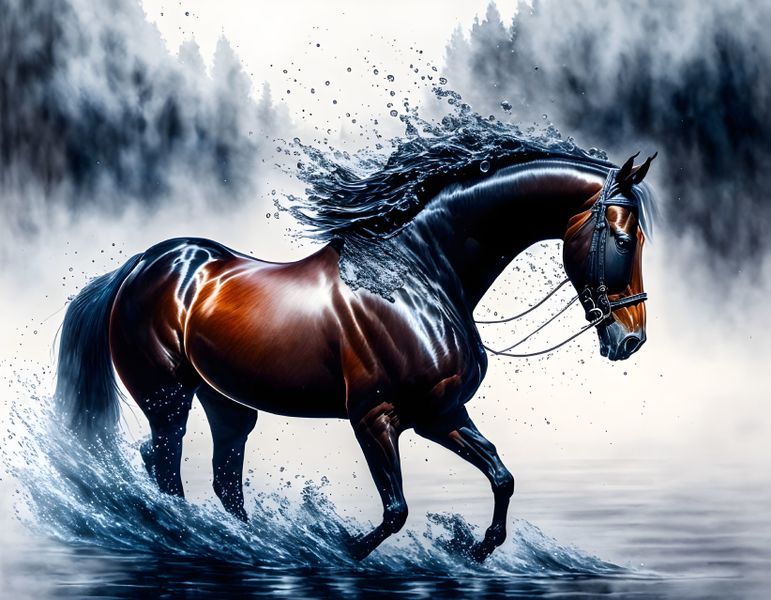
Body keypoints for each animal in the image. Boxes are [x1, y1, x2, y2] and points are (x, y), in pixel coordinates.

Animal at [54, 148, 656, 561]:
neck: (420, 276)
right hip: (168, 396)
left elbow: (500, 474)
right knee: (163, 459)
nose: (629, 340)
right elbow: (395, 511)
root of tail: (140, 265)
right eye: (624, 238)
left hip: (225, 401)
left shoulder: (439, 414)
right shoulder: (374, 417)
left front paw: (476, 548)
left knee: (222, 473)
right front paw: (345, 549)